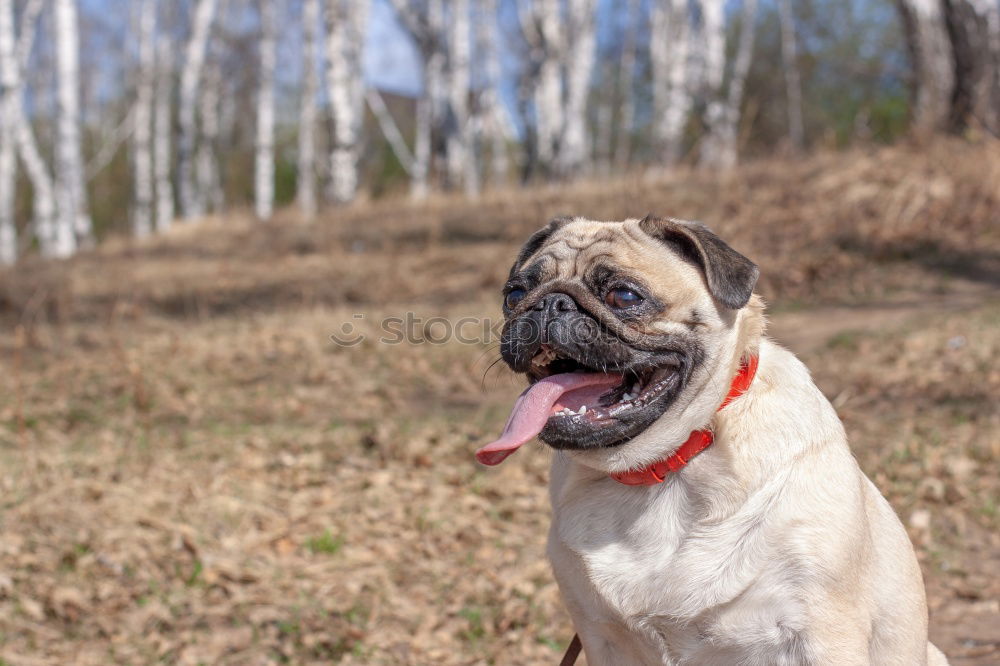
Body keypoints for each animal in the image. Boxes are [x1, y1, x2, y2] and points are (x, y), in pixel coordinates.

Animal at [476, 215, 944, 660]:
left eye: (625, 297)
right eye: (514, 295)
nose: (548, 304)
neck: (665, 468)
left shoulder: (821, 631)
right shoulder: (599, 636)